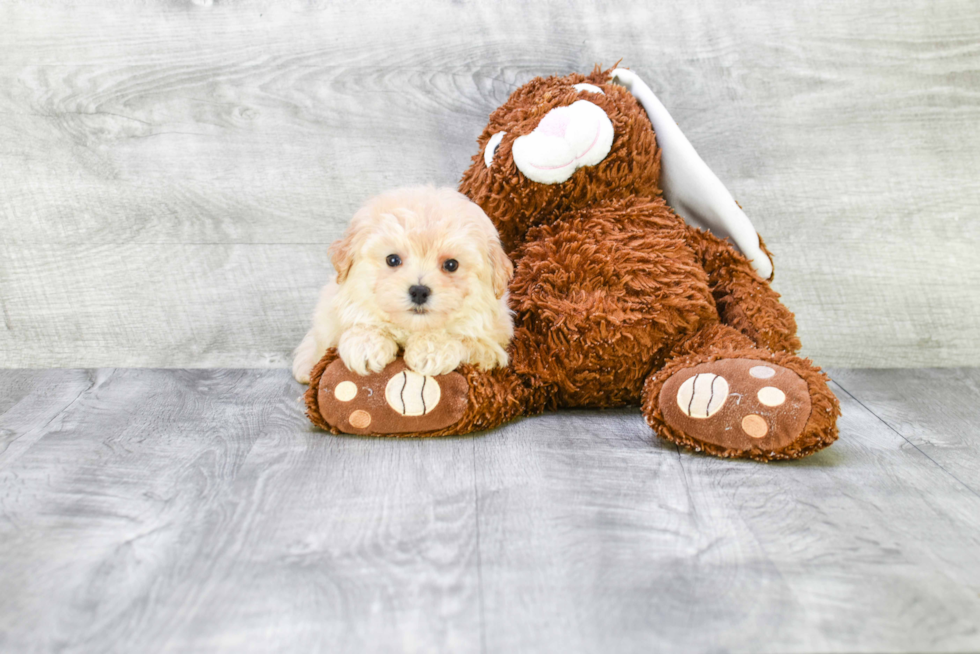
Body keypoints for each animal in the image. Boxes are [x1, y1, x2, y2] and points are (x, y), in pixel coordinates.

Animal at [290, 186, 512, 384]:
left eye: (451, 265)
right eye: (393, 260)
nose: (419, 291)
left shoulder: (493, 347)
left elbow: (465, 339)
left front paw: (432, 349)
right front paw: (365, 343)